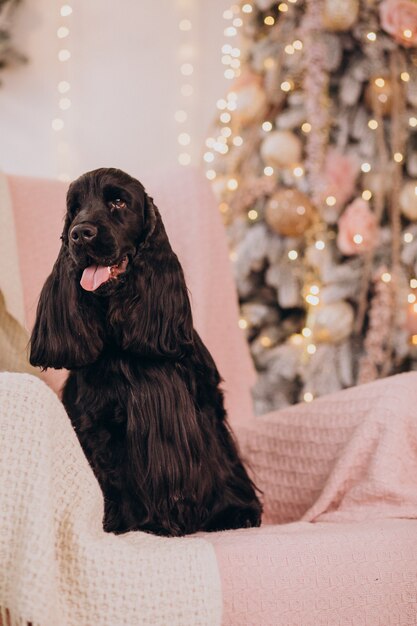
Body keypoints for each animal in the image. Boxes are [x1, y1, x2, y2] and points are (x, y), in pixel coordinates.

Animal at [30, 168, 262, 532]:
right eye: (74, 208)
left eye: (118, 201)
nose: (79, 234)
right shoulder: (99, 426)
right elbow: (115, 479)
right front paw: (131, 524)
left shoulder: (205, 407)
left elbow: (221, 459)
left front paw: (234, 511)